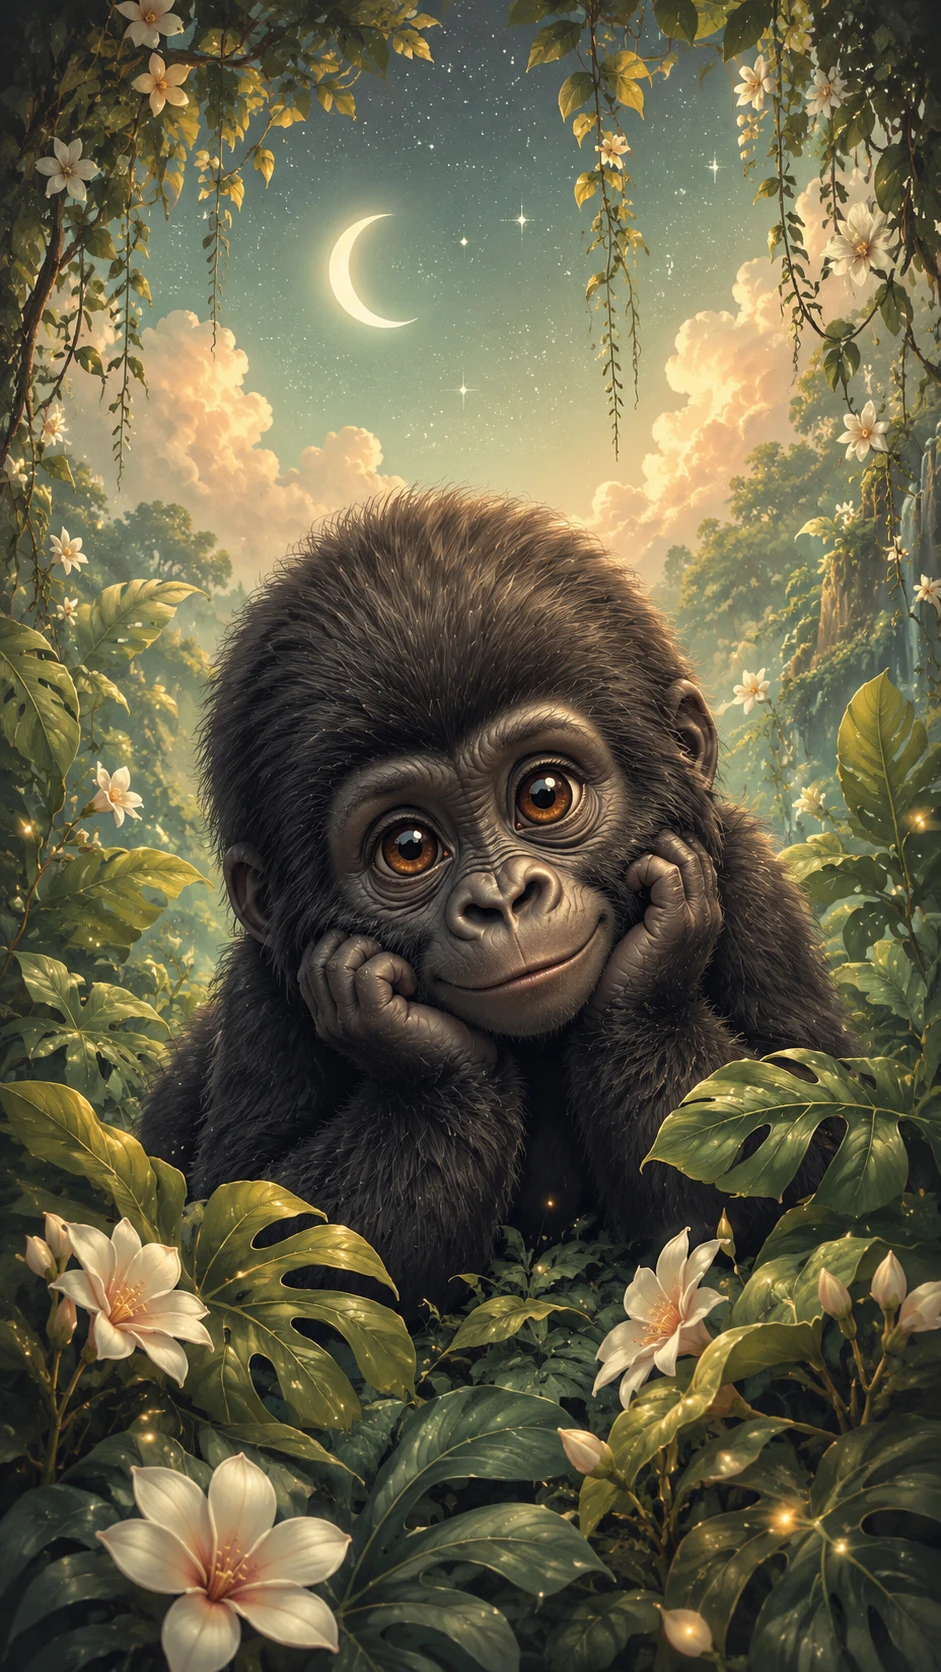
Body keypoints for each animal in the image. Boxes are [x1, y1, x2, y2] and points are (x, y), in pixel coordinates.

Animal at [140, 488, 852, 1321]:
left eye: (543, 795)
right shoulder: (264, 994)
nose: (503, 901)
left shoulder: (750, 882)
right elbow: (250, 1231)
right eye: (408, 846)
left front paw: (651, 973)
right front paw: (425, 1063)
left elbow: (815, 1155)